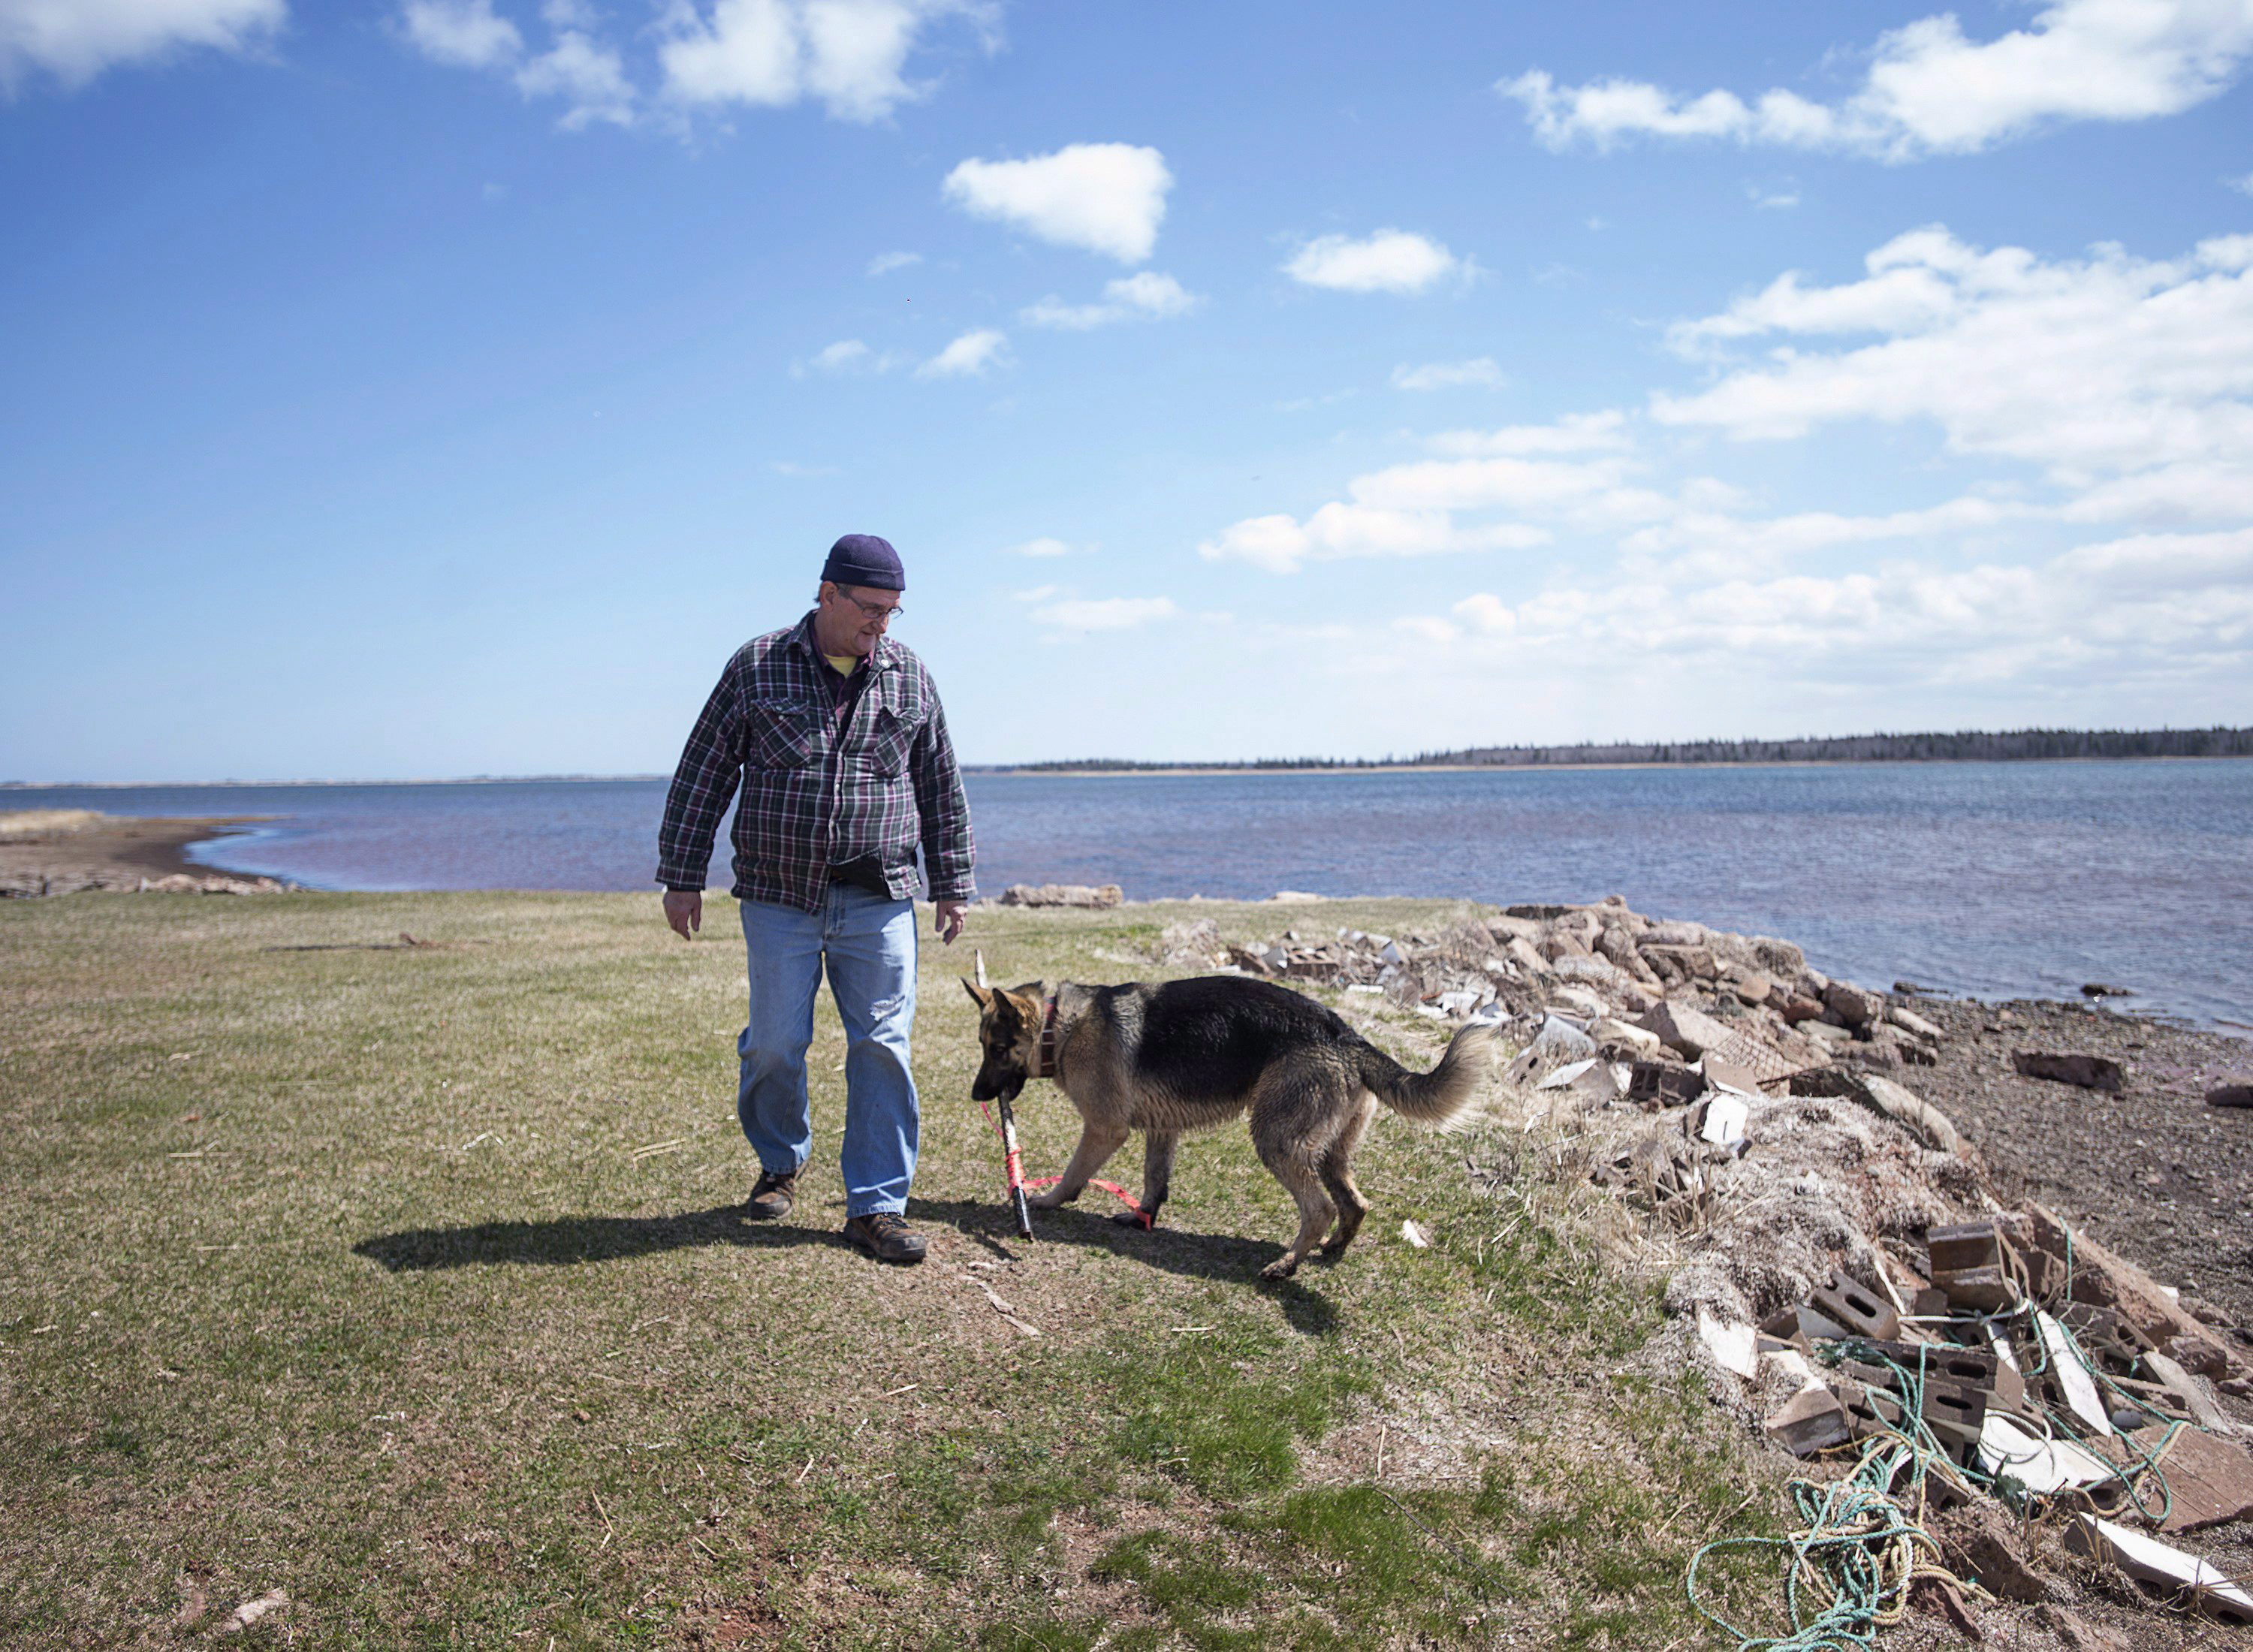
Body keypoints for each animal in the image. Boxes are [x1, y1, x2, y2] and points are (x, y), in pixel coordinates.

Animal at [960, 973, 1487, 1280]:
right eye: (984, 1046)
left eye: (998, 1050)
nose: (975, 1096)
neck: (1059, 1027)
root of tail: (1349, 1037)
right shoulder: (1161, 1129)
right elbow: (1155, 1180)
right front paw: (1142, 1217)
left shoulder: (1105, 1129)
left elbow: (1074, 1175)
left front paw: (1044, 1202)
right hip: (1329, 1153)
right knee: (1354, 1204)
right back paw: (1330, 1251)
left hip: (1276, 1141)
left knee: (1318, 1208)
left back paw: (1287, 1265)